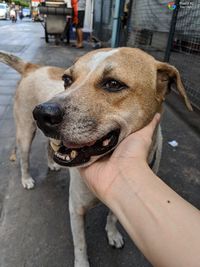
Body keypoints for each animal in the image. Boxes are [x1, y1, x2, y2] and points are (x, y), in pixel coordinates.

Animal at [0, 51, 65, 189]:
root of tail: (31, 67)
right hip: (26, 133)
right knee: (24, 160)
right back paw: (26, 179)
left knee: (48, 147)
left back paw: (51, 164)